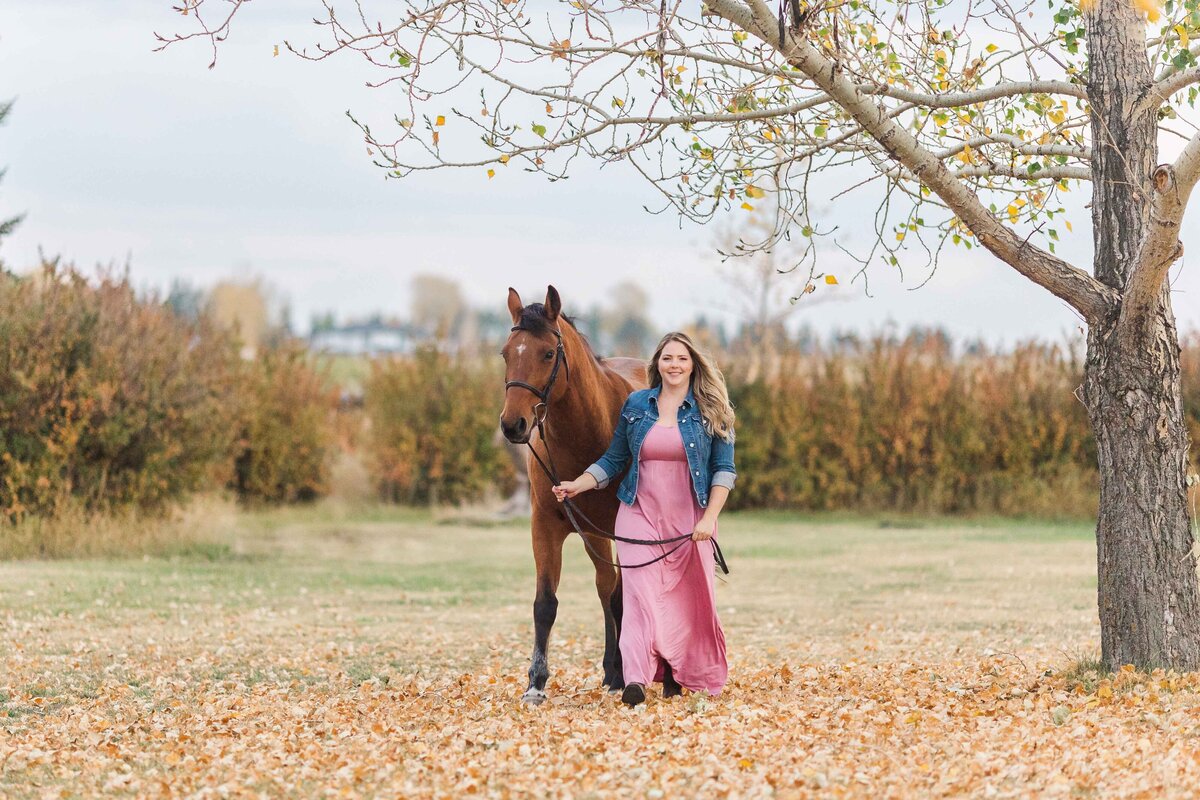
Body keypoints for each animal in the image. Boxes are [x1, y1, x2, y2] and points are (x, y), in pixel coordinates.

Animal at [496, 284, 648, 705]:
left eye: (548, 353)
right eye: (506, 352)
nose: (513, 425)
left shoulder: (619, 531)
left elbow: (622, 598)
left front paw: (624, 674)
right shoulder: (545, 525)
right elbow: (545, 603)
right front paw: (535, 683)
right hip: (592, 535)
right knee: (604, 586)